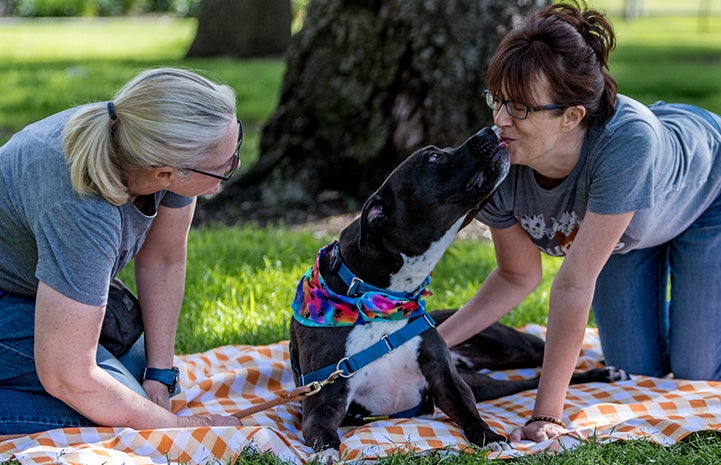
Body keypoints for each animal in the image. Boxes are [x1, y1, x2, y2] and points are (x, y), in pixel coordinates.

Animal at [286, 126, 624, 460]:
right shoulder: (323, 400)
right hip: (485, 380)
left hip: (509, 348)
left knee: (549, 362)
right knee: (532, 378)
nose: (489, 129)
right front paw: (326, 452)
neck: (379, 300)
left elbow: (469, 413)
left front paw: (490, 438)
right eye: (434, 158)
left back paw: (606, 373)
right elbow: (323, 431)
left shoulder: (447, 380)